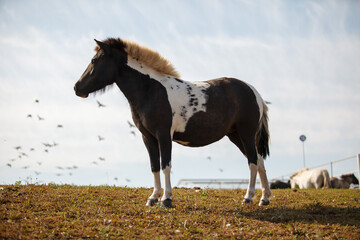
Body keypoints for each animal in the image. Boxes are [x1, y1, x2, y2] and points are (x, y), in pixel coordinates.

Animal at [74, 37, 272, 206]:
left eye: (94, 60)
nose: (77, 88)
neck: (150, 90)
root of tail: (254, 92)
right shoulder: (148, 137)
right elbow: (154, 166)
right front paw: (153, 198)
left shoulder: (163, 135)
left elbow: (165, 165)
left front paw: (166, 199)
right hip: (235, 136)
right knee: (259, 160)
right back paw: (264, 198)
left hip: (246, 134)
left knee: (253, 161)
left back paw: (248, 197)